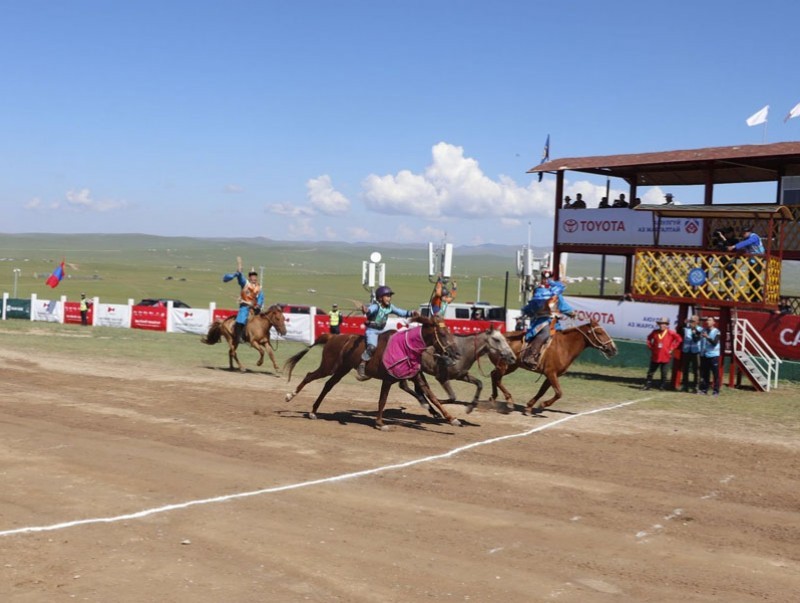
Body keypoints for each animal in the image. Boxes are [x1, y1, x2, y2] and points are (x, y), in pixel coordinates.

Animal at [286, 316, 462, 430]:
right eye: (443, 334)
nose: (456, 353)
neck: (406, 347)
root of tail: (332, 337)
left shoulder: (416, 377)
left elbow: (433, 398)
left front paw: (452, 419)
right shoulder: (388, 379)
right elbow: (382, 400)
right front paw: (380, 423)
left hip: (342, 369)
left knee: (328, 385)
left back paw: (313, 411)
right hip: (329, 366)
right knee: (310, 376)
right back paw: (290, 396)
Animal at [484, 320, 616, 416]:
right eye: (599, 333)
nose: (613, 349)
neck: (564, 346)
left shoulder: (551, 375)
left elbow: (542, 391)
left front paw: (529, 407)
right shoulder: (551, 373)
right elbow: (559, 393)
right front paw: (542, 405)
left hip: (511, 367)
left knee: (493, 375)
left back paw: (493, 398)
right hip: (503, 366)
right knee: (497, 378)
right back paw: (509, 400)